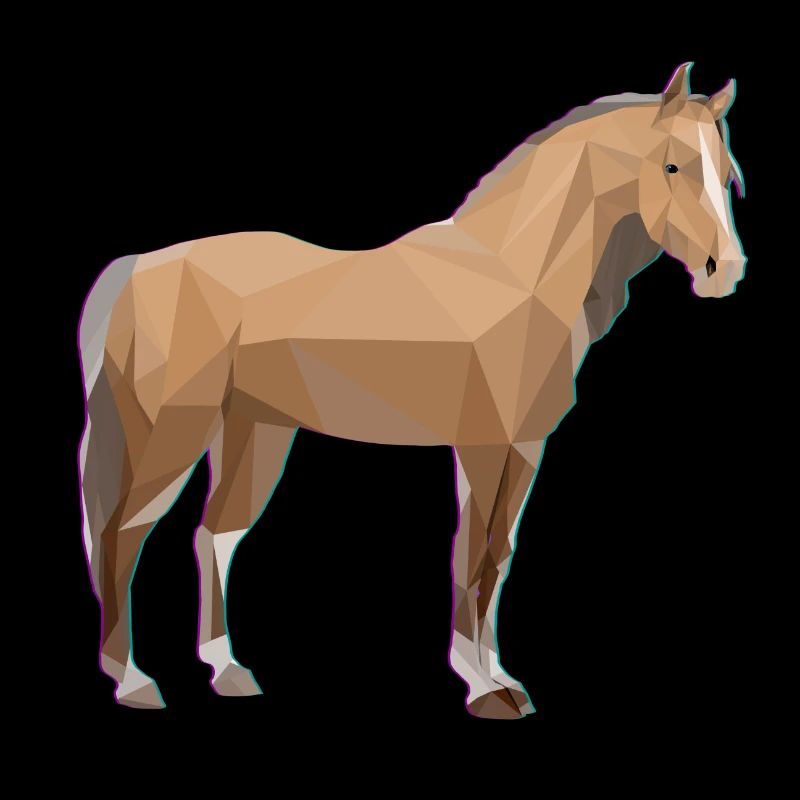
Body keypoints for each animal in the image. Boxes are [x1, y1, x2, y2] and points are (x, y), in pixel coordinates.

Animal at [78, 63, 747, 717]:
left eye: (726, 174)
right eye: (672, 166)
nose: (726, 272)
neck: (518, 277)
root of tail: (135, 270)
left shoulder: (524, 448)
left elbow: (499, 556)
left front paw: (502, 678)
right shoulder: (484, 447)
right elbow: (472, 555)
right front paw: (484, 691)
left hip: (255, 432)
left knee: (214, 534)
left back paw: (228, 672)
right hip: (169, 434)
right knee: (123, 535)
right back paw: (133, 683)